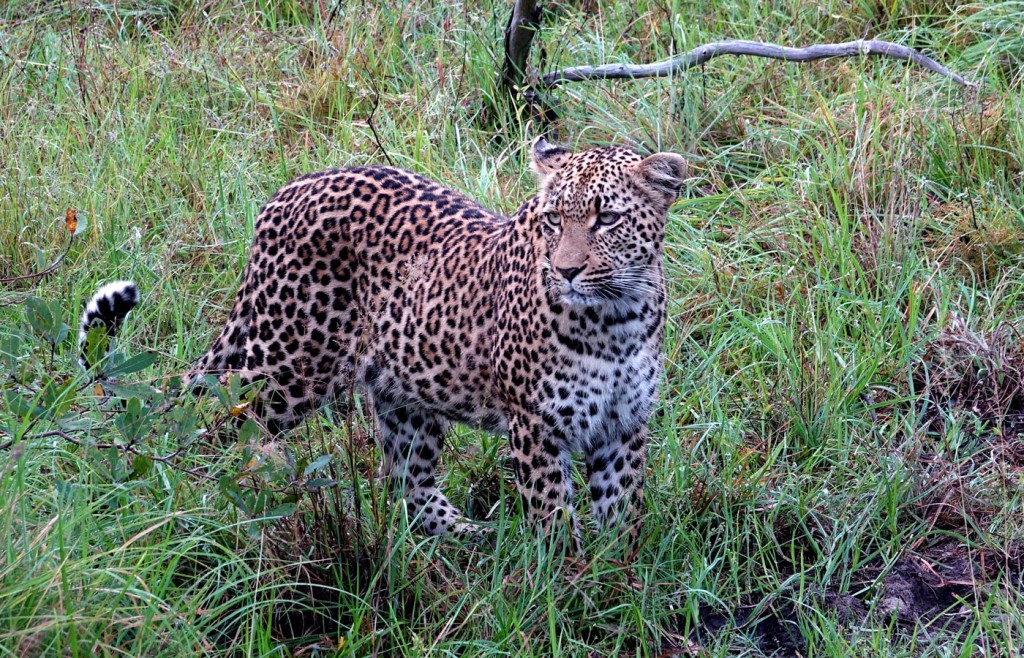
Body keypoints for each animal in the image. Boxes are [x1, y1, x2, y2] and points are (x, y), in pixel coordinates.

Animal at [79, 138, 688, 540]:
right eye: (553, 220)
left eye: (606, 219)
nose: (565, 272)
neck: (616, 320)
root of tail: (284, 193)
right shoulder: (536, 426)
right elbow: (554, 516)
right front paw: (566, 584)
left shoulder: (625, 425)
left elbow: (622, 512)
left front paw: (616, 581)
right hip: (286, 367)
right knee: (226, 424)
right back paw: (230, 505)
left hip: (405, 393)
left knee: (407, 481)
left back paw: (467, 535)